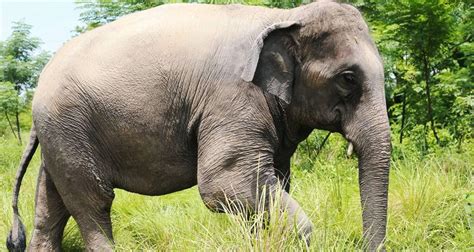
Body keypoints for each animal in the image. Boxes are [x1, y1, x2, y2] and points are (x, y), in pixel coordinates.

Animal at [7, 0, 390, 251]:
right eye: (348, 78)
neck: (283, 17)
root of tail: (40, 85)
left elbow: (272, 182)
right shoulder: (232, 99)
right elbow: (224, 182)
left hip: (61, 133)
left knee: (50, 205)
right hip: (69, 124)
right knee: (93, 202)